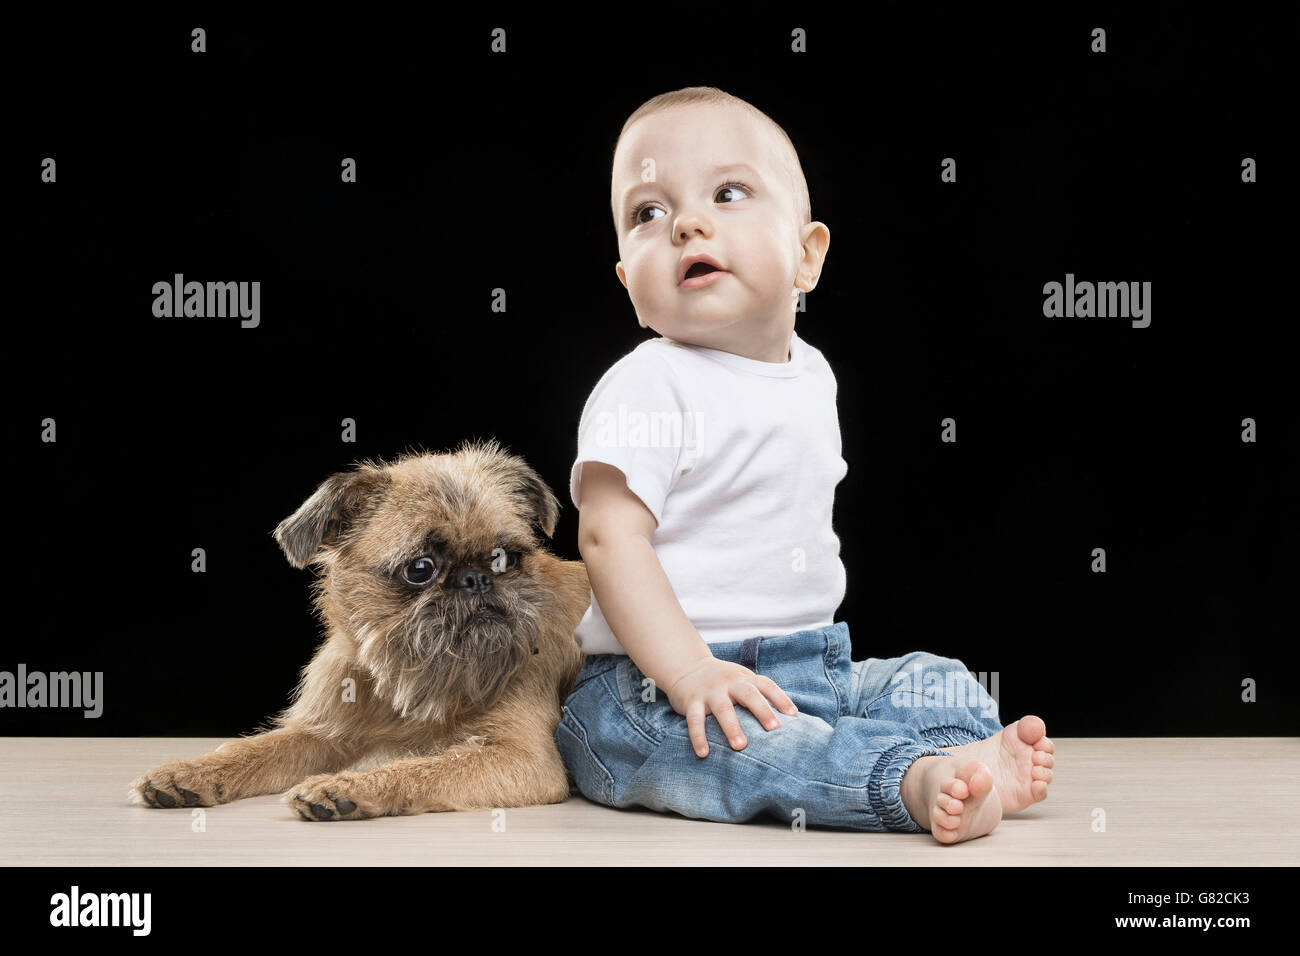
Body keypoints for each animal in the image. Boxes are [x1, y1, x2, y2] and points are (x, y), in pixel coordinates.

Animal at [125, 442, 585, 822]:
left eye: (507, 558)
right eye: (420, 568)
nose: (478, 579)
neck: (403, 679)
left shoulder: (522, 760)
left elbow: (428, 767)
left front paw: (348, 786)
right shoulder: (322, 736)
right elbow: (253, 748)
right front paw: (189, 772)